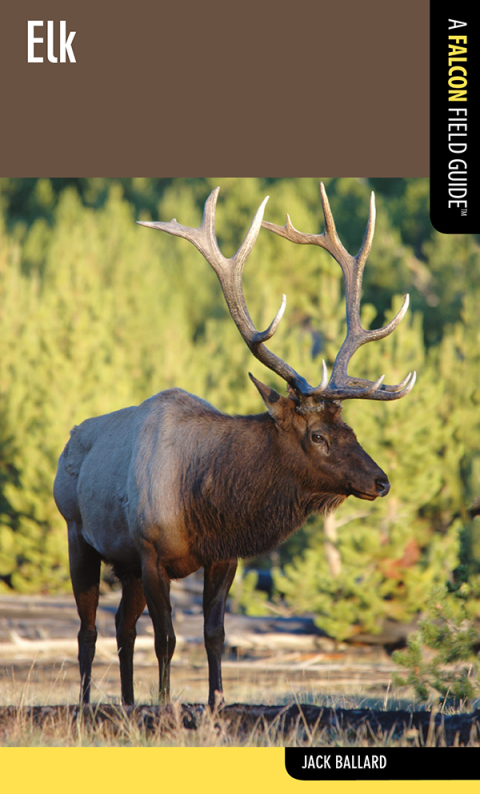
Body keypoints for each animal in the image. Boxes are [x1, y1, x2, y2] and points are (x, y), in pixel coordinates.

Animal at [53, 183, 416, 709]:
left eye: (350, 429)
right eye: (318, 435)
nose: (381, 481)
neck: (205, 500)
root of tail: (69, 441)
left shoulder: (222, 556)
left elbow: (214, 634)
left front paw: (215, 703)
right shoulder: (152, 554)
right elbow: (167, 639)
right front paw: (166, 706)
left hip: (125, 564)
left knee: (122, 625)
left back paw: (128, 704)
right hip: (79, 535)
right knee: (88, 630)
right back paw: (86, 706)